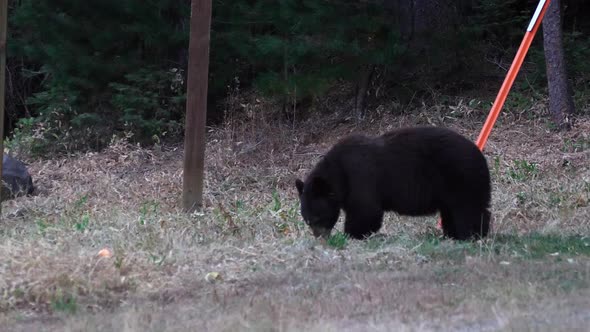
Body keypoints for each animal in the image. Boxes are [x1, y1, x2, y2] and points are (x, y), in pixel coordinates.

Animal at [296, 126, 494, 241]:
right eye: (307, 220)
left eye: (317, 218)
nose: (321, 239)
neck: (338, 172)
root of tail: (480, 155)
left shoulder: (360, 177)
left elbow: (366, 210)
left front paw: (352, 234)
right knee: (453, 210)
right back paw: (453, 234)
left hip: (460, 178)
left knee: (467, 209)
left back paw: (471, 235)